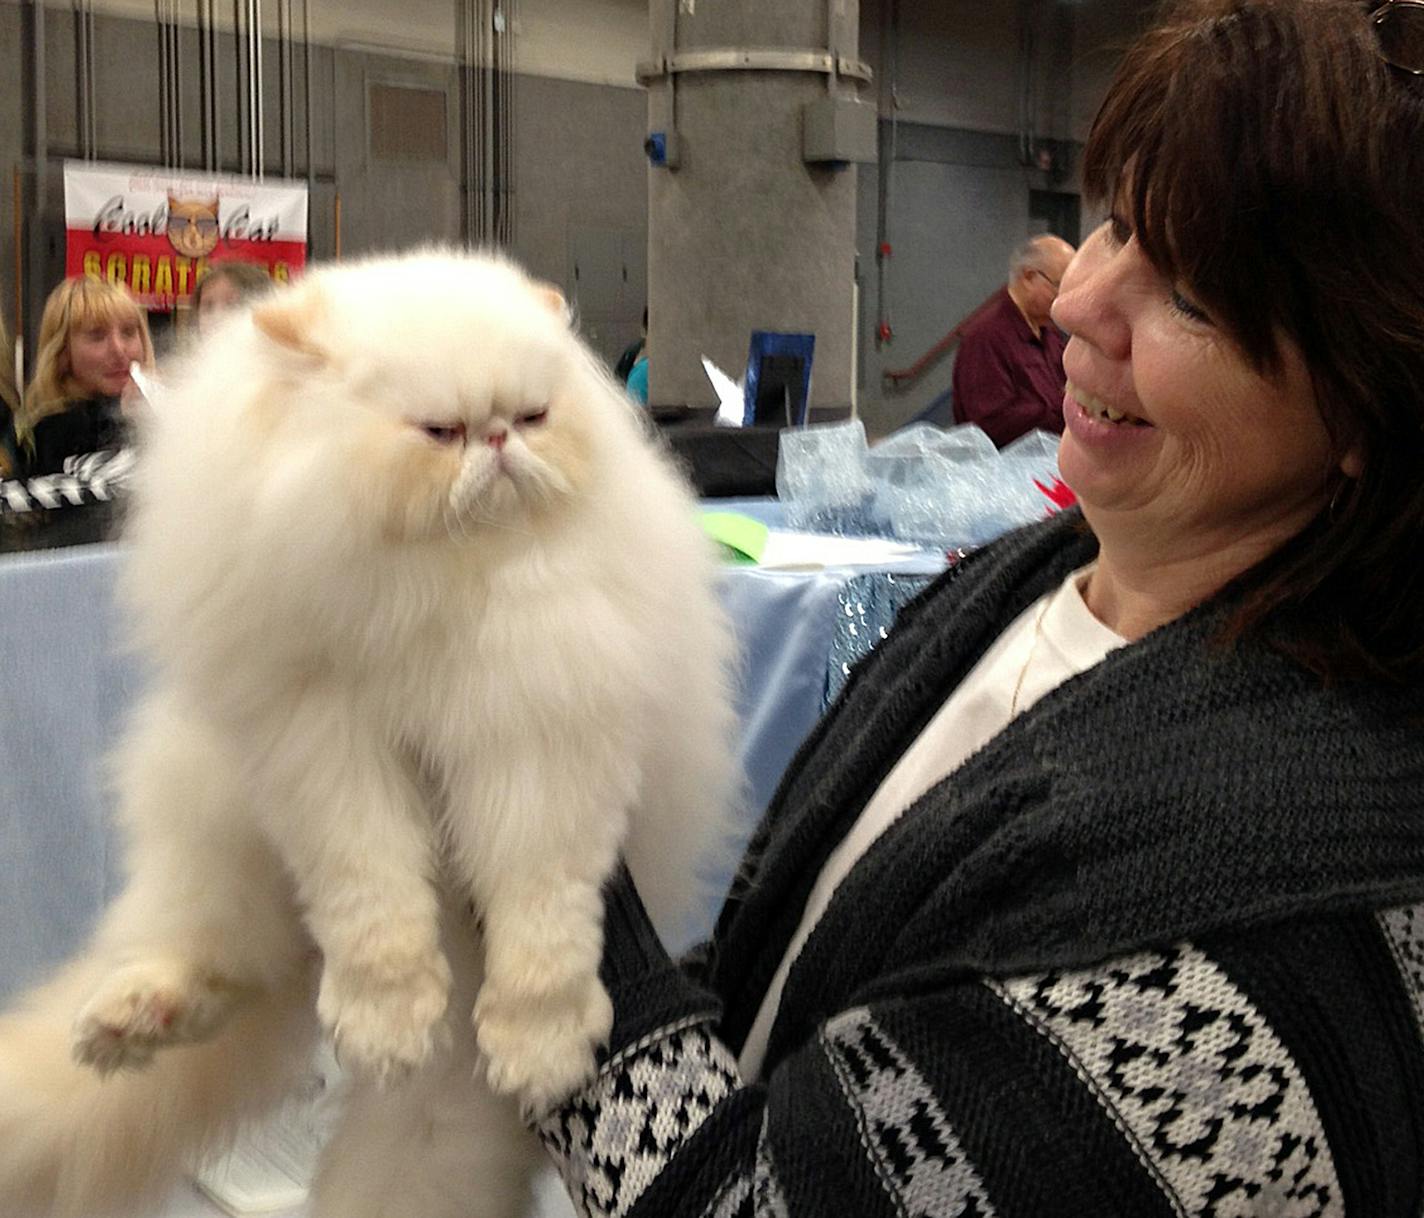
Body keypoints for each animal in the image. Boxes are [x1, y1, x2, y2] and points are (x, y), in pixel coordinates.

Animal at [0, 250, 740, 1218]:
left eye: (534, 416)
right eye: (439, 432)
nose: (499, 441)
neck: (437, 589)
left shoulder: (543, 752)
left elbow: (542, 928)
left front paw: (538, 1051)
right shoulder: (325, 752)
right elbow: (374, 908)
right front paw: (387, 1027)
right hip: (213, 821)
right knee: (214, 961)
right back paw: (128, 1022)